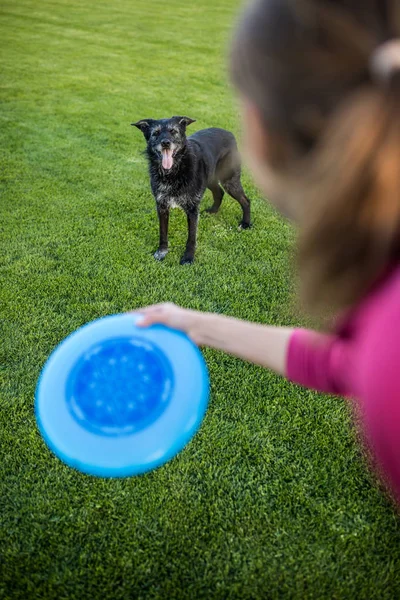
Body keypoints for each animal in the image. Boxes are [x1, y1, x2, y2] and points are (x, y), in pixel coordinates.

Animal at [132, 116, 250, 264]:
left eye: (173, 131)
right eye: (156, 133)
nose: (165, 143)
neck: (174, 172)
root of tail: (229, 133)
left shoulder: (192, 208)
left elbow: (191, 237)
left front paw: (188, 257)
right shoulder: (162, 206)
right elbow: (163, 232)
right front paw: (162, 251)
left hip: (229, 181)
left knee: (245, 200)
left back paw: (246, 223)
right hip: (210, 179)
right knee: (219, 192)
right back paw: (213, 211)